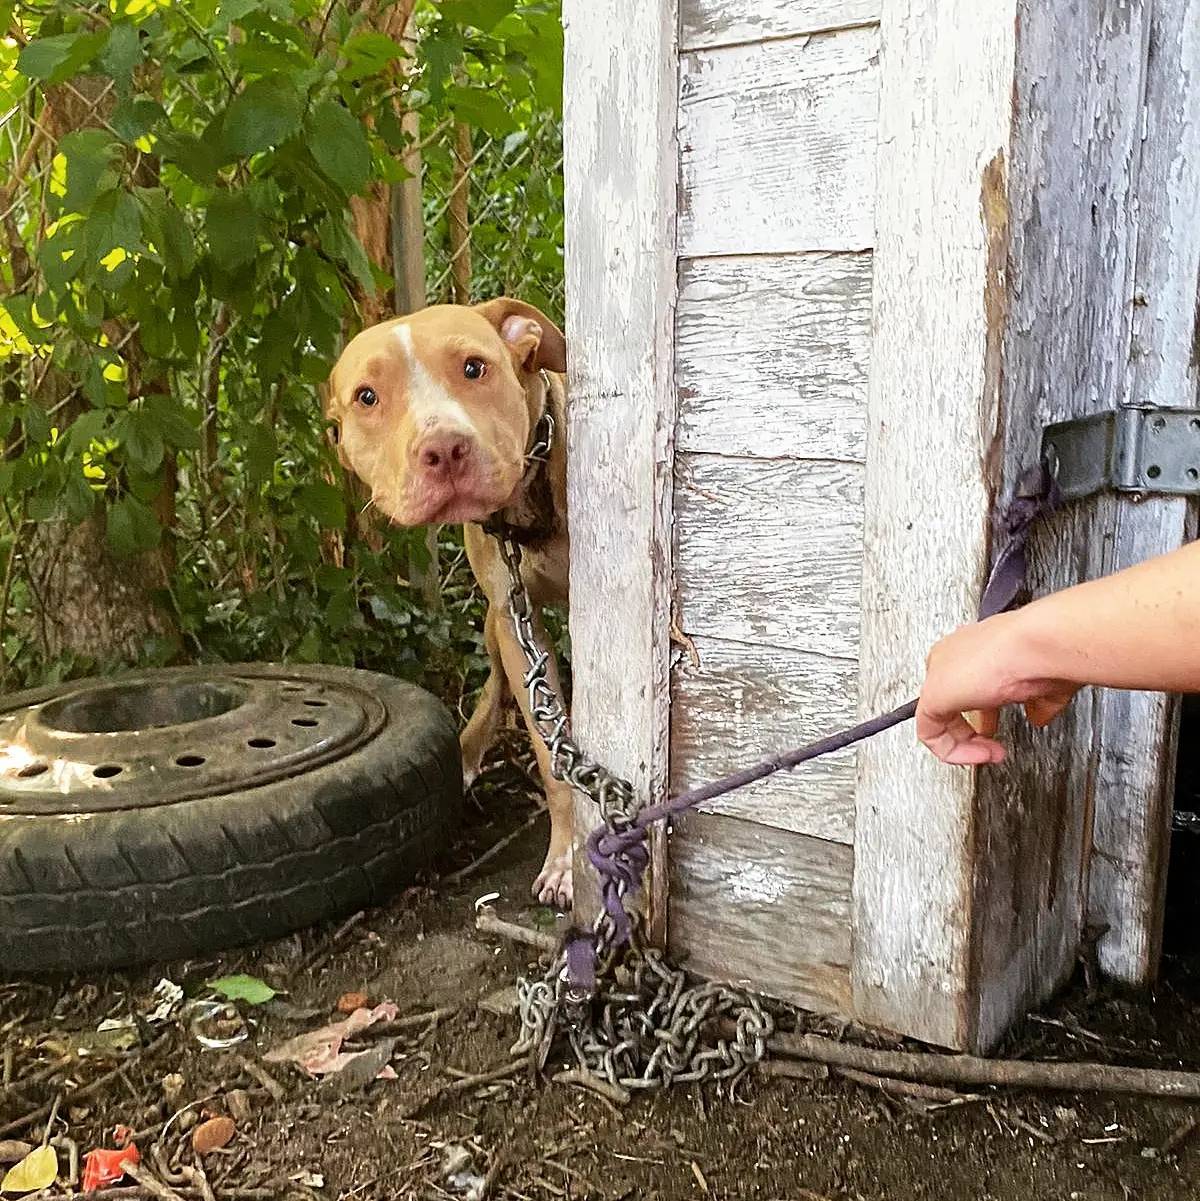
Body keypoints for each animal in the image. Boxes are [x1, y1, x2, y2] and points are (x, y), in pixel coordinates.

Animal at [326, 300, 574, 907]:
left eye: (473, 367)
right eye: (367, 396)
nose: (443, 449)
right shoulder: (513, 619)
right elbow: (551, 754)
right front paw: (568, 854)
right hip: (493, 624)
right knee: (497, 685)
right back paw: (464, 750)